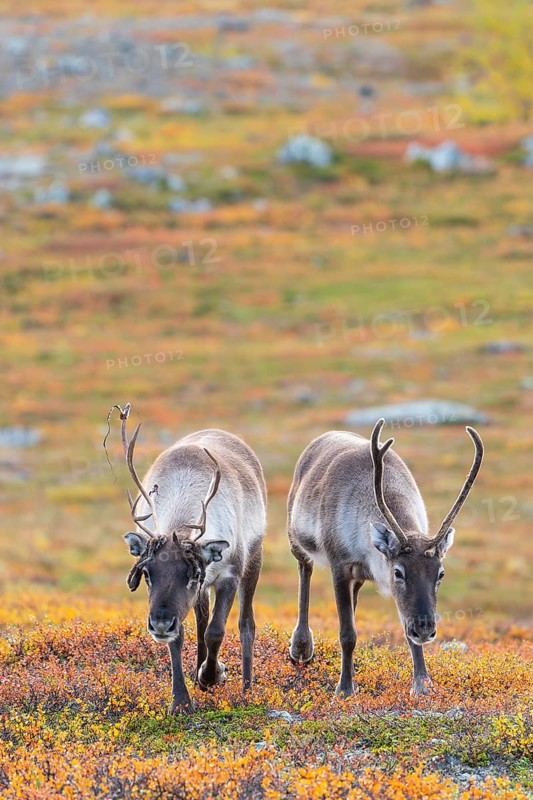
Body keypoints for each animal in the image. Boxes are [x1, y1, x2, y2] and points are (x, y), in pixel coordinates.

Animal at [110, 404, 267, 713]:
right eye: (147, 574)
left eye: (192, 573)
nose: (160, 624)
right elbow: (182, 635)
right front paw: (181, 701)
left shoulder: (228, 575)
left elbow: (216, 631)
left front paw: (213, 675)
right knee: (201, 619)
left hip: (254, 558)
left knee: (246, 624)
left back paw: (246, 687)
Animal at [287, 418, 484, 697]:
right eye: (398, 572)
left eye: (441, 573)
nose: (425, 629)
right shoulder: (340, 565)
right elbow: (347, 632)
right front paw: (344, 689)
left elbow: (404, 632)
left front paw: (422, 685)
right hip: (296, 539)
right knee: (305, 570)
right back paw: (302, 648)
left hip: (357, 577)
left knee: (353, 598)